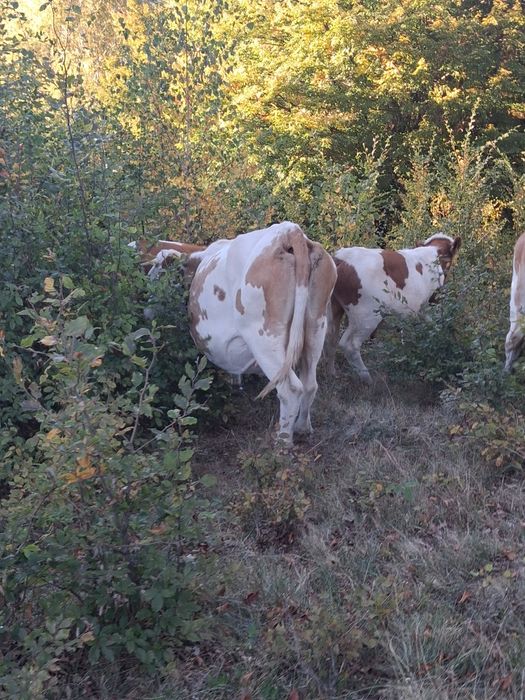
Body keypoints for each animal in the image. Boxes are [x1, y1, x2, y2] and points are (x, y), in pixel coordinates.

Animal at [188, 222, 337, 445]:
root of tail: (289, 231)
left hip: (263, 336)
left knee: (291, 389)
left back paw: (283, 441)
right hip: (316, 325)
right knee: (310, 384)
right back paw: (302, 428)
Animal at [326, 233, 462, 383]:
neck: (434, 252)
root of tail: (341, 258)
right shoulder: (431, 301)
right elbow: (434, 324)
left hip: (334, 308)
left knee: (330, 338)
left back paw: (332, 374)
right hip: (367, 315)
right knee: (350, 345)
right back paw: (368, 379)